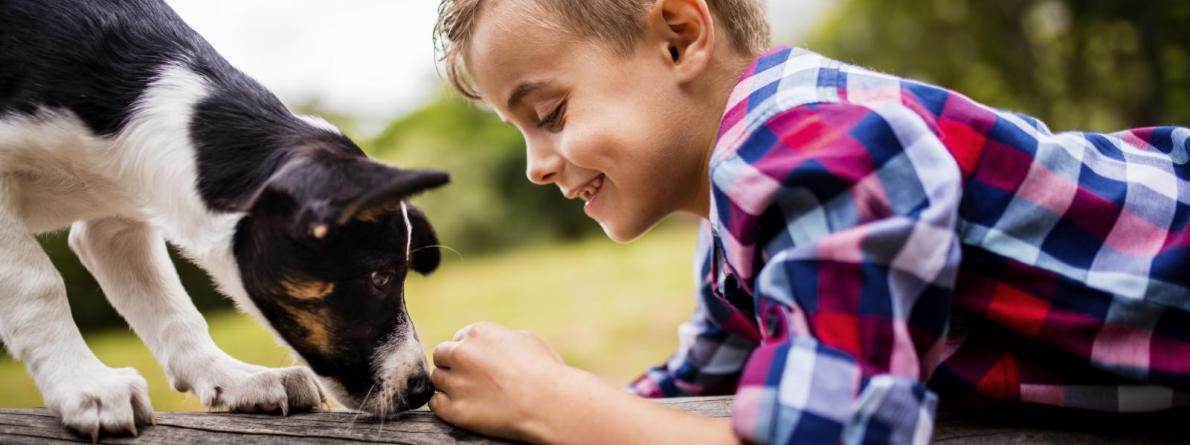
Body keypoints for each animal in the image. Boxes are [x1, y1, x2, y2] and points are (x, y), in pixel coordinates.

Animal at [0, 0, 447, 437]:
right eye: (379, 278)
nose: (422, 389)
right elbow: (36, 285)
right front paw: (85, 386)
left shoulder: (114, 225)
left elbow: (173, 310)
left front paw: (233, 378)